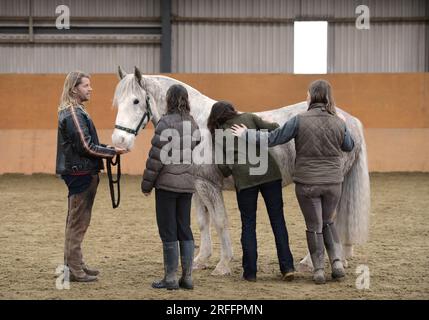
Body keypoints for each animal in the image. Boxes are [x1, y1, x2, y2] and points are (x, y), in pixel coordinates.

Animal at [112, 67, 370, 276]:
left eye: (136, 101)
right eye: (118, 102)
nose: (119, 141)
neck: (196, 124)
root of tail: (348, 121)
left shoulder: (209, 185)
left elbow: (220, 221)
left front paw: (223, 264)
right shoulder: (196, 186)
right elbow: (203, 221)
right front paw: (200, 260)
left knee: (325, 219)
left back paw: (308, 262)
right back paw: (339, 258)